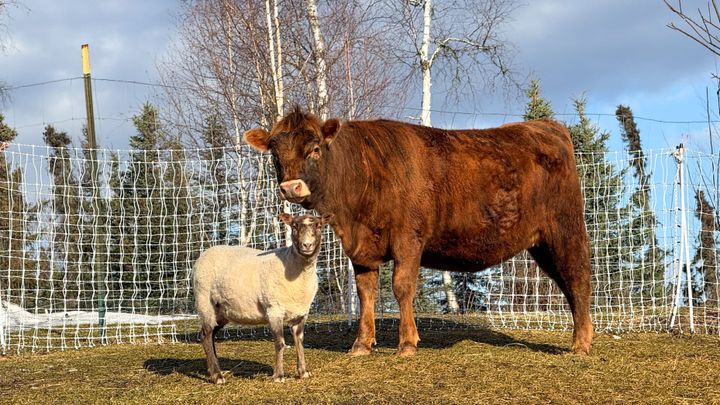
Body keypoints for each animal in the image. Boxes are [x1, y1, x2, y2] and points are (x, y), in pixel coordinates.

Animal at [193, 213, 332, 384]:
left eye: (319, 225)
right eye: (294, 226)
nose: (307, 245)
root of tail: (202, 256)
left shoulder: (301, 313)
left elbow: (299, 341)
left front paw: (303, 372)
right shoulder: (274, 310)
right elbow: (280, 343)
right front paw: (279, 376)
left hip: (222, 310)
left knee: (211, 334)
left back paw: (216, 370)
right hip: (205, 300)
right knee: (205, 335)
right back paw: (217, 376)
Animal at [243, 106, 593, 356]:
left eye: (315, 148)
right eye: (274, 153)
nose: (291, 187)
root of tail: (545, 126)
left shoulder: (408, 238)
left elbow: (402, 286)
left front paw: (407, 343)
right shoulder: (362, 249)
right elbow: (366, 292)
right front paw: (361, 344)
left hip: (564, 228)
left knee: (577, 279)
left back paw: (581, 344)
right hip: (541, 241)